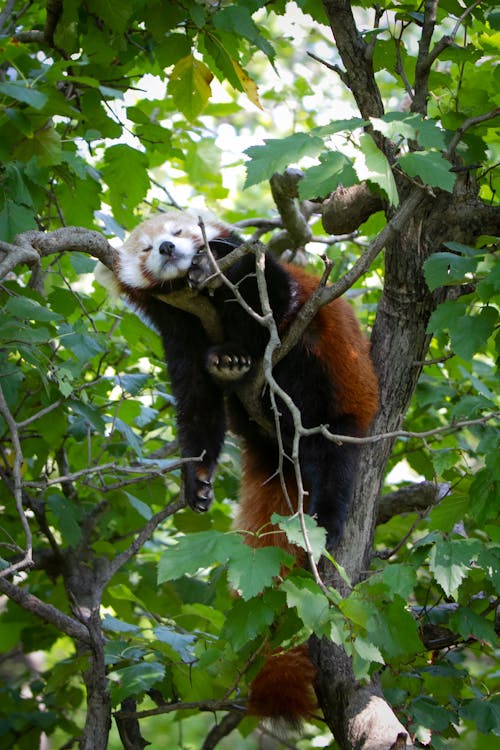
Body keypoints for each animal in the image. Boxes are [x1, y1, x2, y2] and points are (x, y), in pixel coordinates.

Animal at [97, 206, 378, 728]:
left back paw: (320, 520)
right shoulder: (179, 336)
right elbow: (197, 407)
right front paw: (197, 480)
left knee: (328, 461)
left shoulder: (273, 297)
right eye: (145, 249)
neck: (201, 304)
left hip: (339, 404)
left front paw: (219, 259)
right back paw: (231, 367)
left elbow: (276, 296)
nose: (168, 249)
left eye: (180, 232)